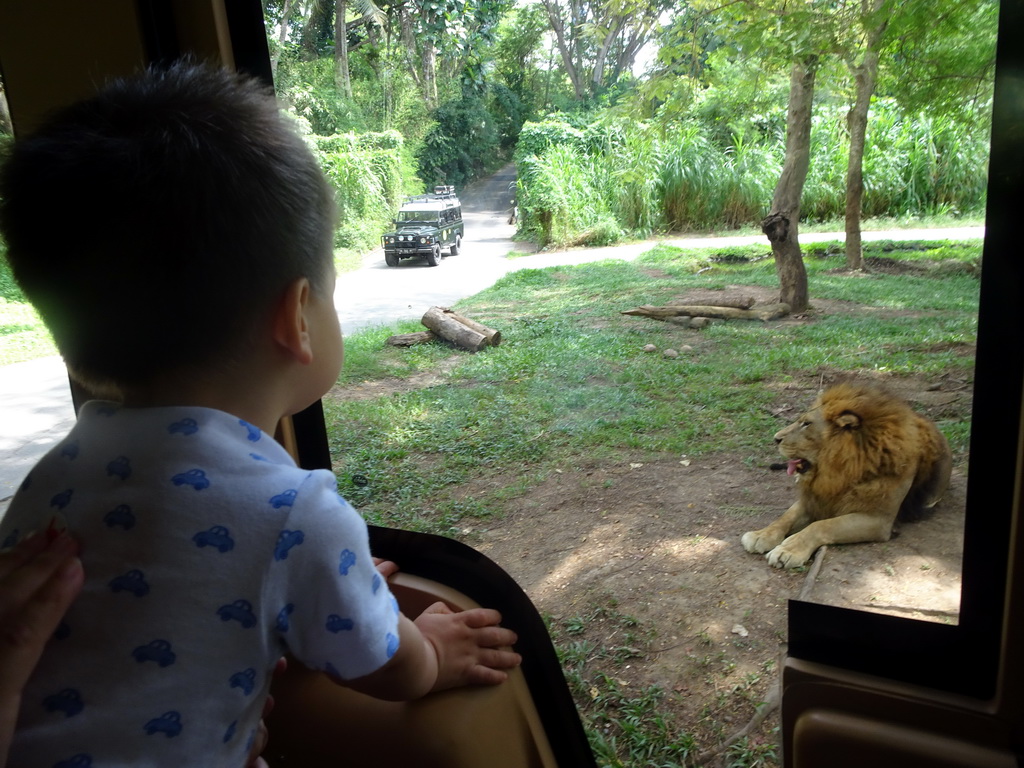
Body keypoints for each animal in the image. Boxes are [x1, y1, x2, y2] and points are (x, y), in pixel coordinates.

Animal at [741, 382, 954, 569]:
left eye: (806, 424)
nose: (775, 438)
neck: (838, 473)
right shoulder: (816, 498)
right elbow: (785, 517)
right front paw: (761, 535)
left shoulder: (878, 520)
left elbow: (822, 525)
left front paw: (788, 550)